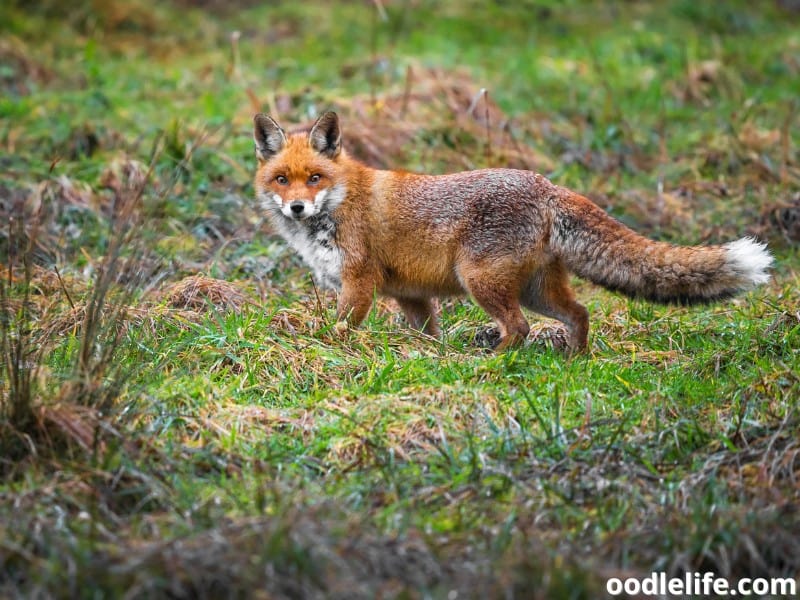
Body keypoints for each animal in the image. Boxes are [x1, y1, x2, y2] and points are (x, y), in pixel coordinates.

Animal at [252, 111, 773, 353]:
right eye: (281, 179)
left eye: (314, 178)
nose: (297, 206)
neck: (339, 203)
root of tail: (548, 184)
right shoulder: (411, 296)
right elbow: (428, 336)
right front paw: (428, 358)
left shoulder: (360, 283)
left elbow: (339, 329)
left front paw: (326, 348)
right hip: (535, 288)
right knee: (580, 313)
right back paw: (574, 362)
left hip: (481, 281)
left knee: (520, 328)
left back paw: (492, 361)